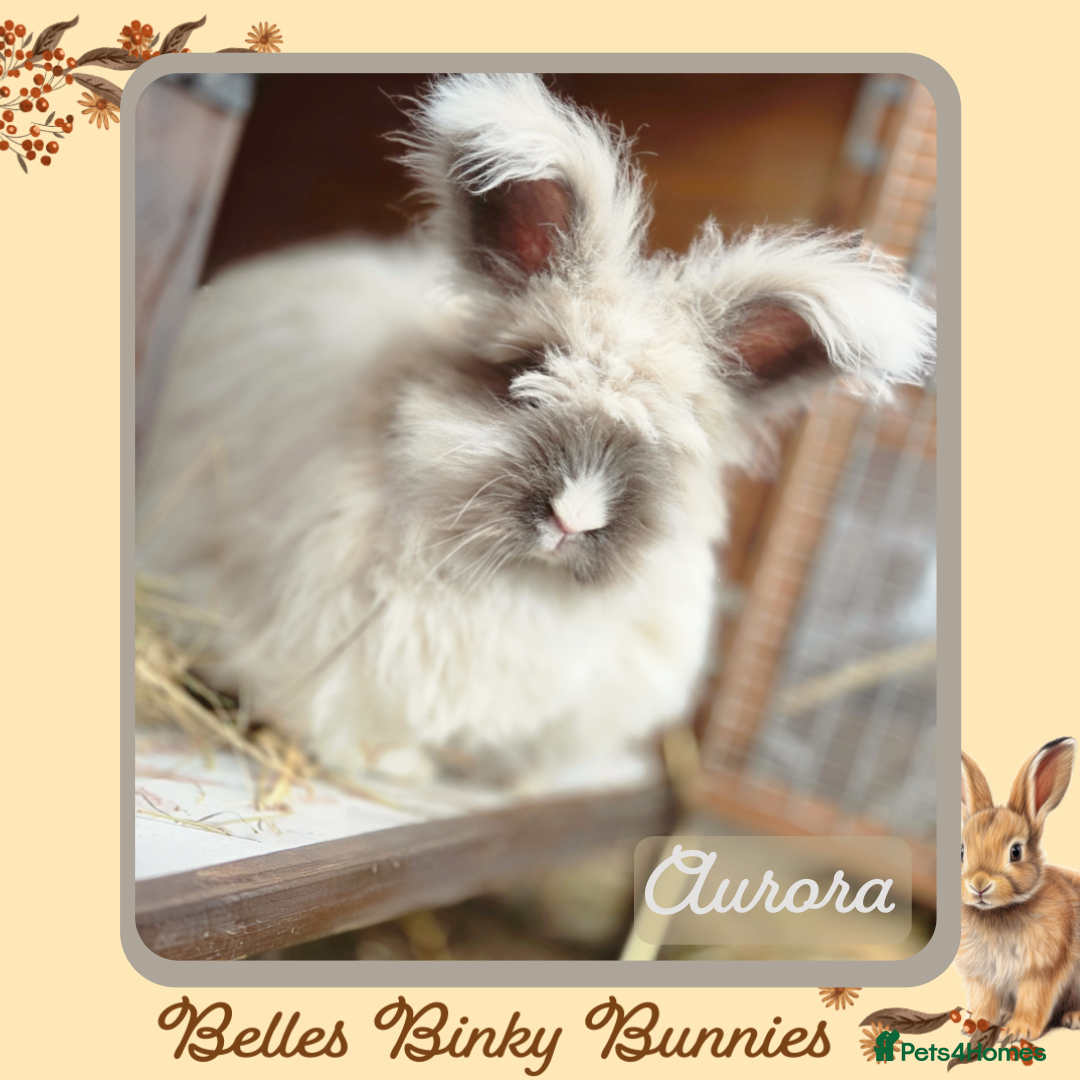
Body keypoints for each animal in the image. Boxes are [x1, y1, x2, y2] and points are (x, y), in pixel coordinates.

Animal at [957, 738, 1080, 1040]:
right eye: (962, 851)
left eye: (1015, 851)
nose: (979, 885)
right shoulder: (983, 976)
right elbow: (984, 1001)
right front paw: (974, 1025)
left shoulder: (1041, 970)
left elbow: (1033, 1000)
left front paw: (1016, 1032)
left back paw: (1073, 1017)